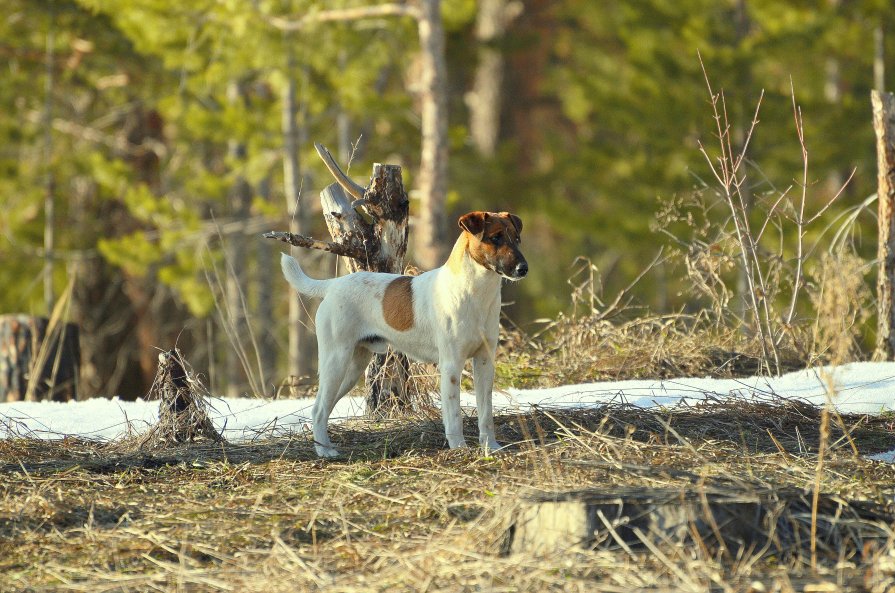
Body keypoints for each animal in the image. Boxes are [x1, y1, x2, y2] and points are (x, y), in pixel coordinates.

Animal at [284, 210, 528, 456]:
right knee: (318, 409)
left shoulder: (484, 362)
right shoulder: (451, 365)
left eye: (517, 238)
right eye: (496, 237)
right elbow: (454, 415)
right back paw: (325, 452)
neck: (474, 293)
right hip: (336, 361)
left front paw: (491, 447)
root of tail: (333, 286)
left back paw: (326, 446)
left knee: (324, 408)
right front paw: (459, 447)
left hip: (352, 368)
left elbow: (486, 413)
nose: (523, 268)